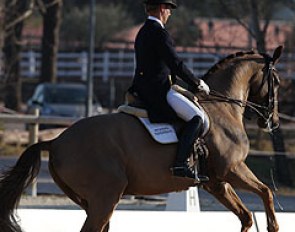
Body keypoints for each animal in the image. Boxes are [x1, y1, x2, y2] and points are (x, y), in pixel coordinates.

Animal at [0, 45, 284, 232]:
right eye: (278, 82)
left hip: (91, 201)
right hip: (106, 197)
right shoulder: (232, 169)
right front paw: (273, 226)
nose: (273, 122)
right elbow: (267, 191)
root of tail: (57, 142)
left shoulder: (216, 182)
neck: (222, 107)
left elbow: (246, 216)